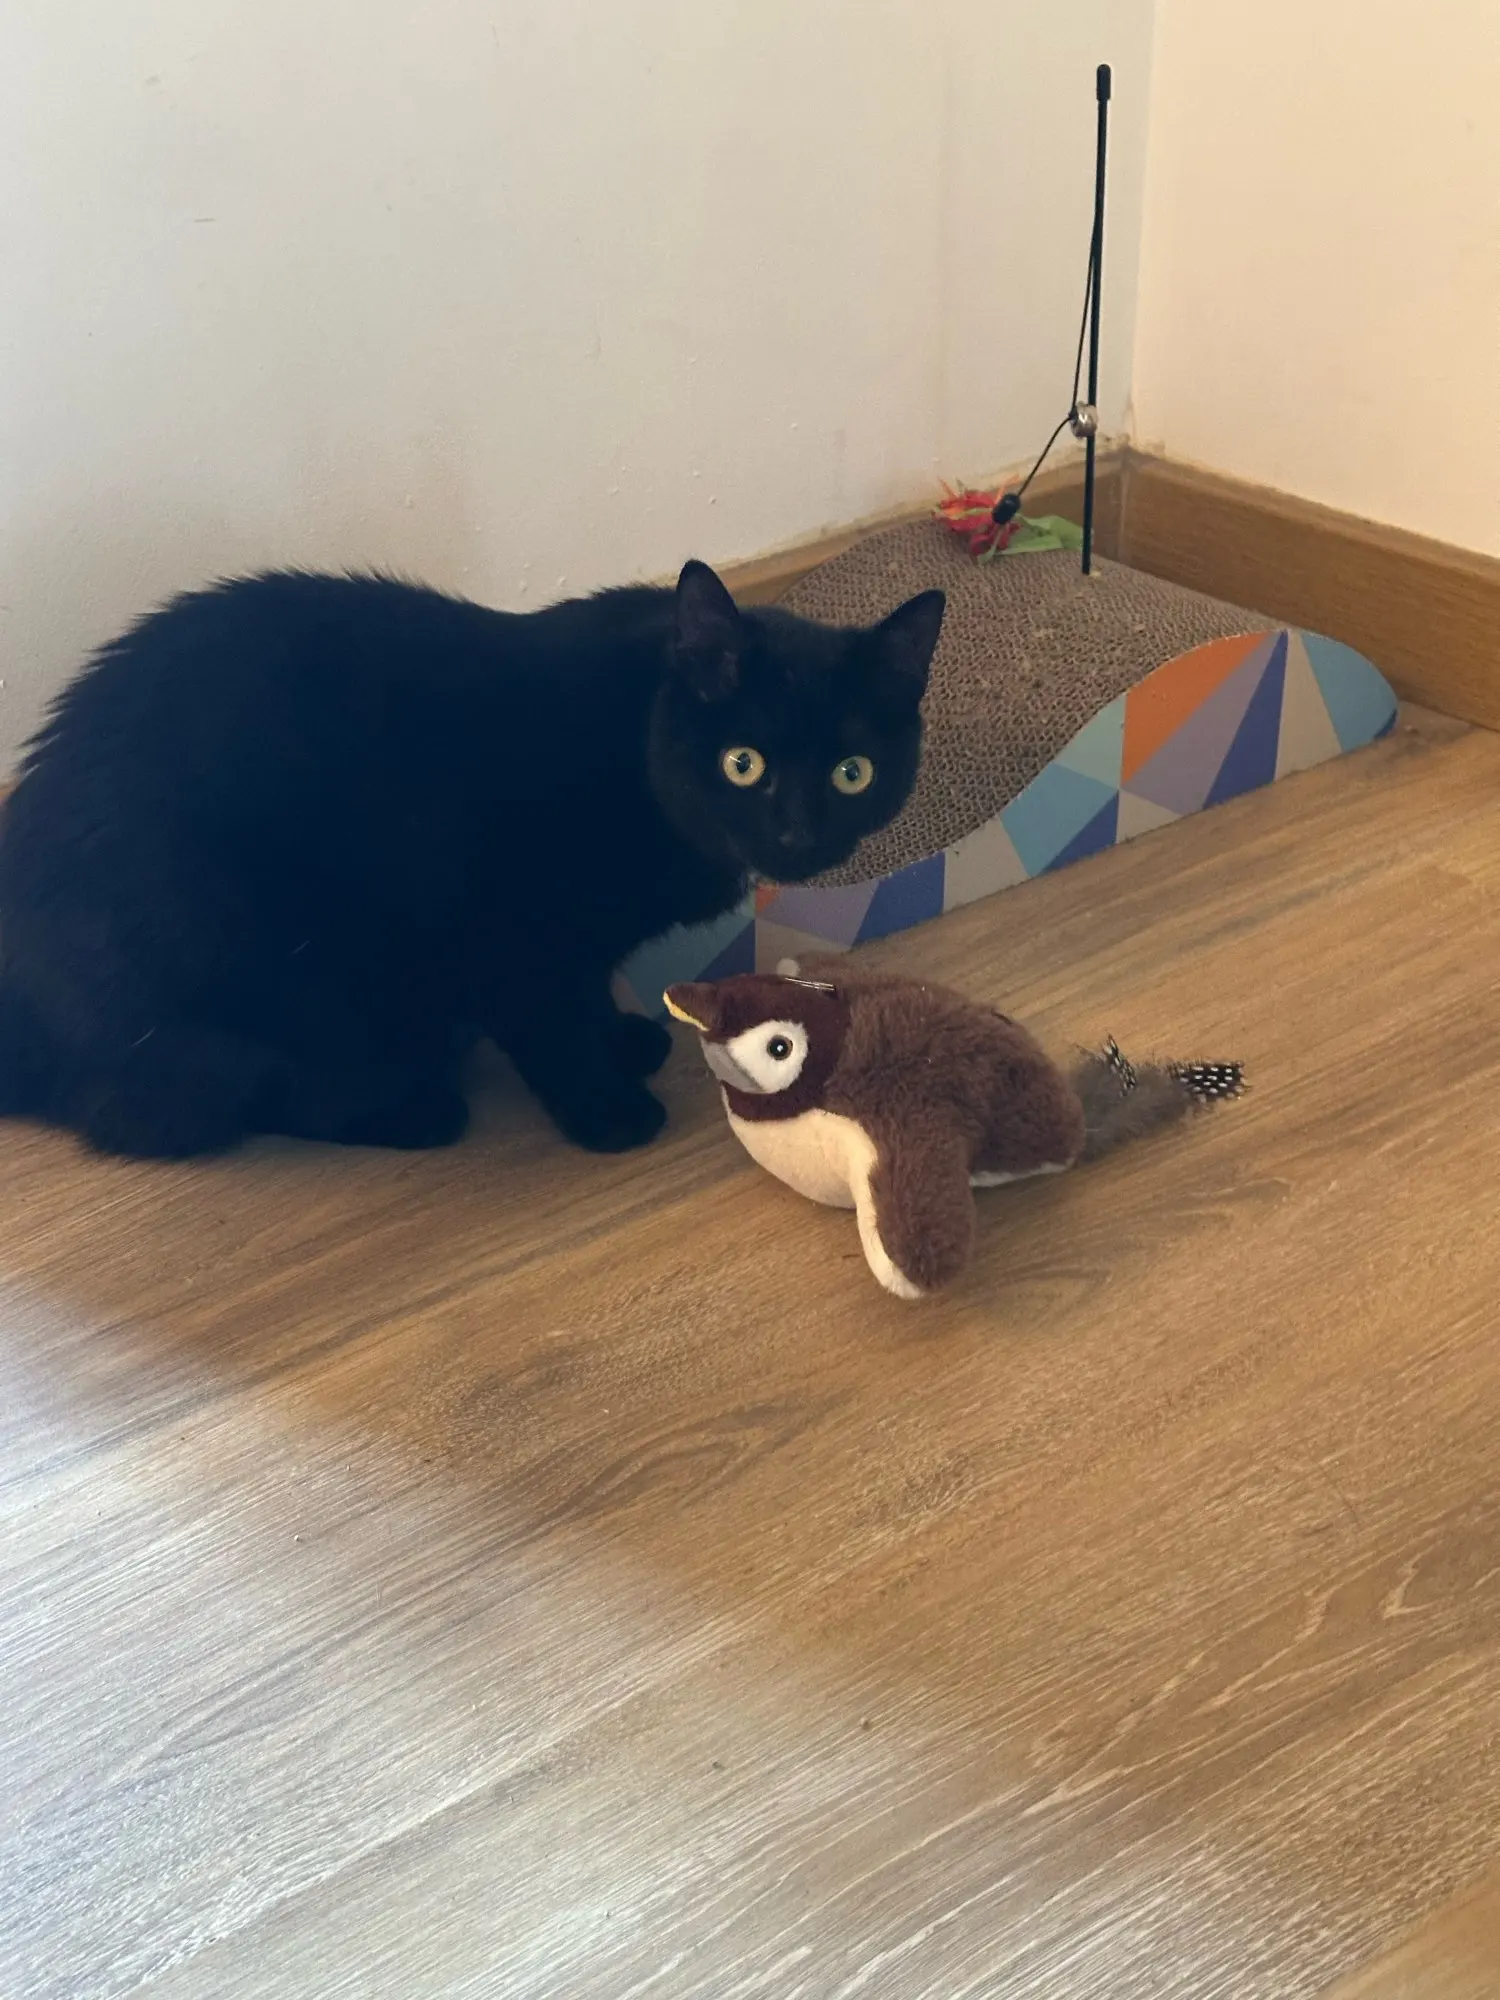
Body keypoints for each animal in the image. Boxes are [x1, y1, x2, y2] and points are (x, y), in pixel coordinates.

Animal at [0, 559, 944, 1160]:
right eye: (742, 763)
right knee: (193, 1104)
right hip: (260, 963)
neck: (627, 739)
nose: (795, 833)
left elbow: (584, 997)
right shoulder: (508, 929)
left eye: (852, 773)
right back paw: (410, 1109)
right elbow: (552, 1023)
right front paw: (605, 1110)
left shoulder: (573, 944)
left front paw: (621, 1041)